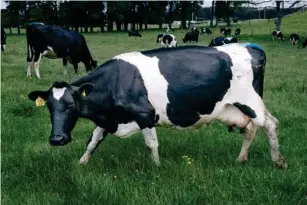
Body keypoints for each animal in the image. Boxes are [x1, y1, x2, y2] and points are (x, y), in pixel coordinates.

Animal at [28, 42, 288, 168]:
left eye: (72, 105)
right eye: (49, 107)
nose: (57, 139)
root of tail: (251, 48)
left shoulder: (145, 114)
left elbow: (151, 144)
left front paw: (156, 168)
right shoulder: (107, 119)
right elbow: (92, 142)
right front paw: (81, 164)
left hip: (250, 101)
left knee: (270, 124)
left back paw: (278, 162)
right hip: (234, 108)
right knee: (251, 128)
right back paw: (241, 159)